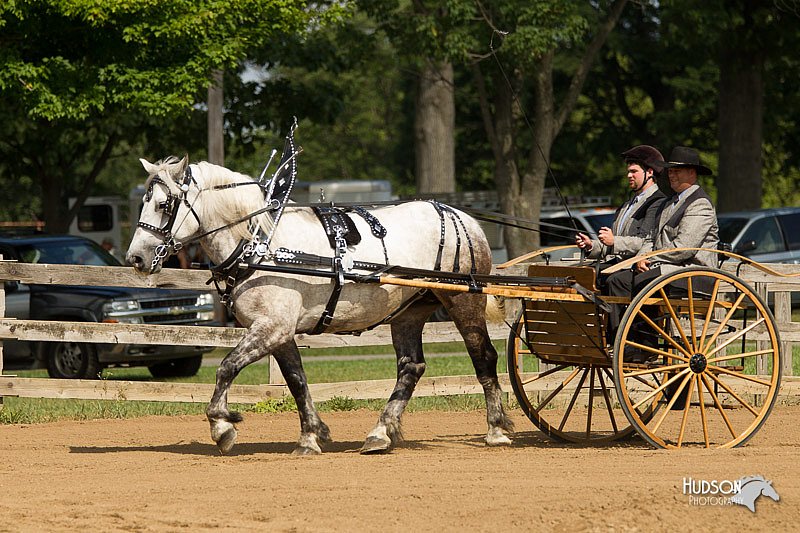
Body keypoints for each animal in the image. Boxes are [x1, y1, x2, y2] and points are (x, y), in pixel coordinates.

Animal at [125, 155, 512, 454]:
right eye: (144, 202)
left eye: (164, 205)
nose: (136, 258)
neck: (262, 245)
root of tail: (462, 218)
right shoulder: (280, 332)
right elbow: (297, 380)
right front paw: (312, 435)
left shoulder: (271, 327)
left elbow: (226, 368)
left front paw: (222, 426)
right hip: (409, 312)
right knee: (411, 367)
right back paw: (381, 432)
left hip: (462, 300)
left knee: (483, 357)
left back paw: (496, 429)